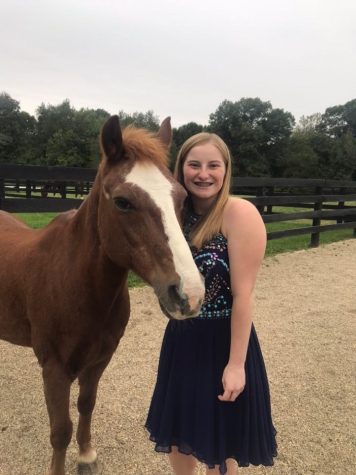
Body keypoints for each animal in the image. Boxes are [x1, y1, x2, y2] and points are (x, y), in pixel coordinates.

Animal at [0, 116, 204, 475]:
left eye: (181, 198)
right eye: (123, 202)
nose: (189, 294)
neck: (77, 285)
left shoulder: (99, 360)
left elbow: (86, 404)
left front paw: (86, 456)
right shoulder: (54, 368)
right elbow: (60, 430)